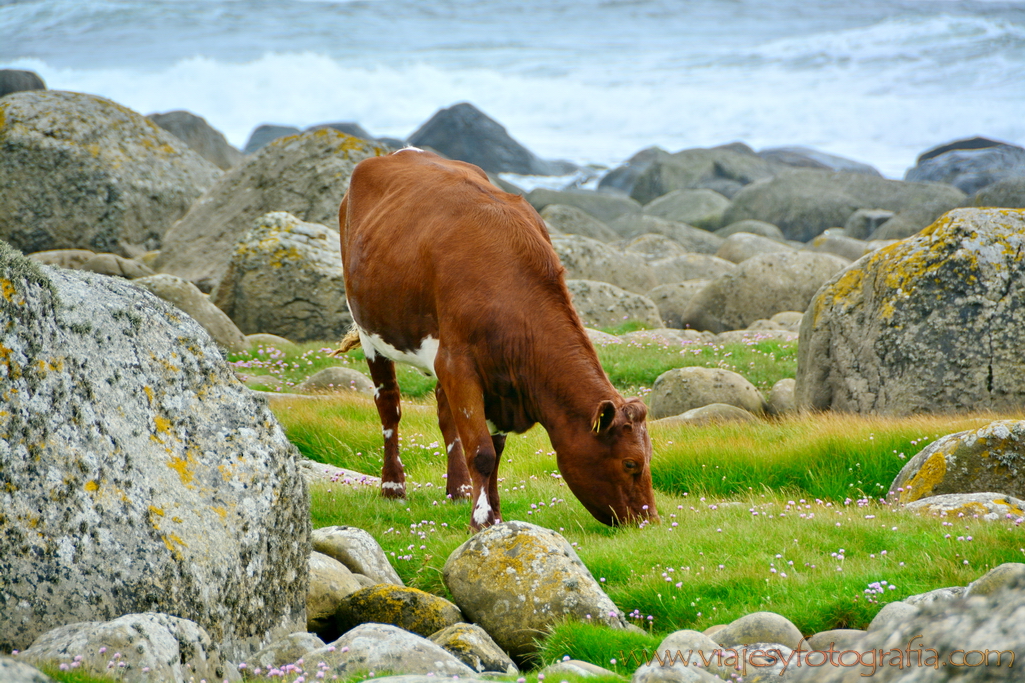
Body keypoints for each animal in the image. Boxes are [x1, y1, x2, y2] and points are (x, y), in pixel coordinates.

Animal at [336, 147, 656, 525]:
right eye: (631, 463)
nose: (651, 521)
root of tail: (399, 153)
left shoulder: (499, 382)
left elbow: (495, 450)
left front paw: (494, 516)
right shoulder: (458, 363)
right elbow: (483, 453)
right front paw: (481, 521)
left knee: (444, 414)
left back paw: (458, 488)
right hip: (371, 332)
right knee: (389, 406)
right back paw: (392, 486)